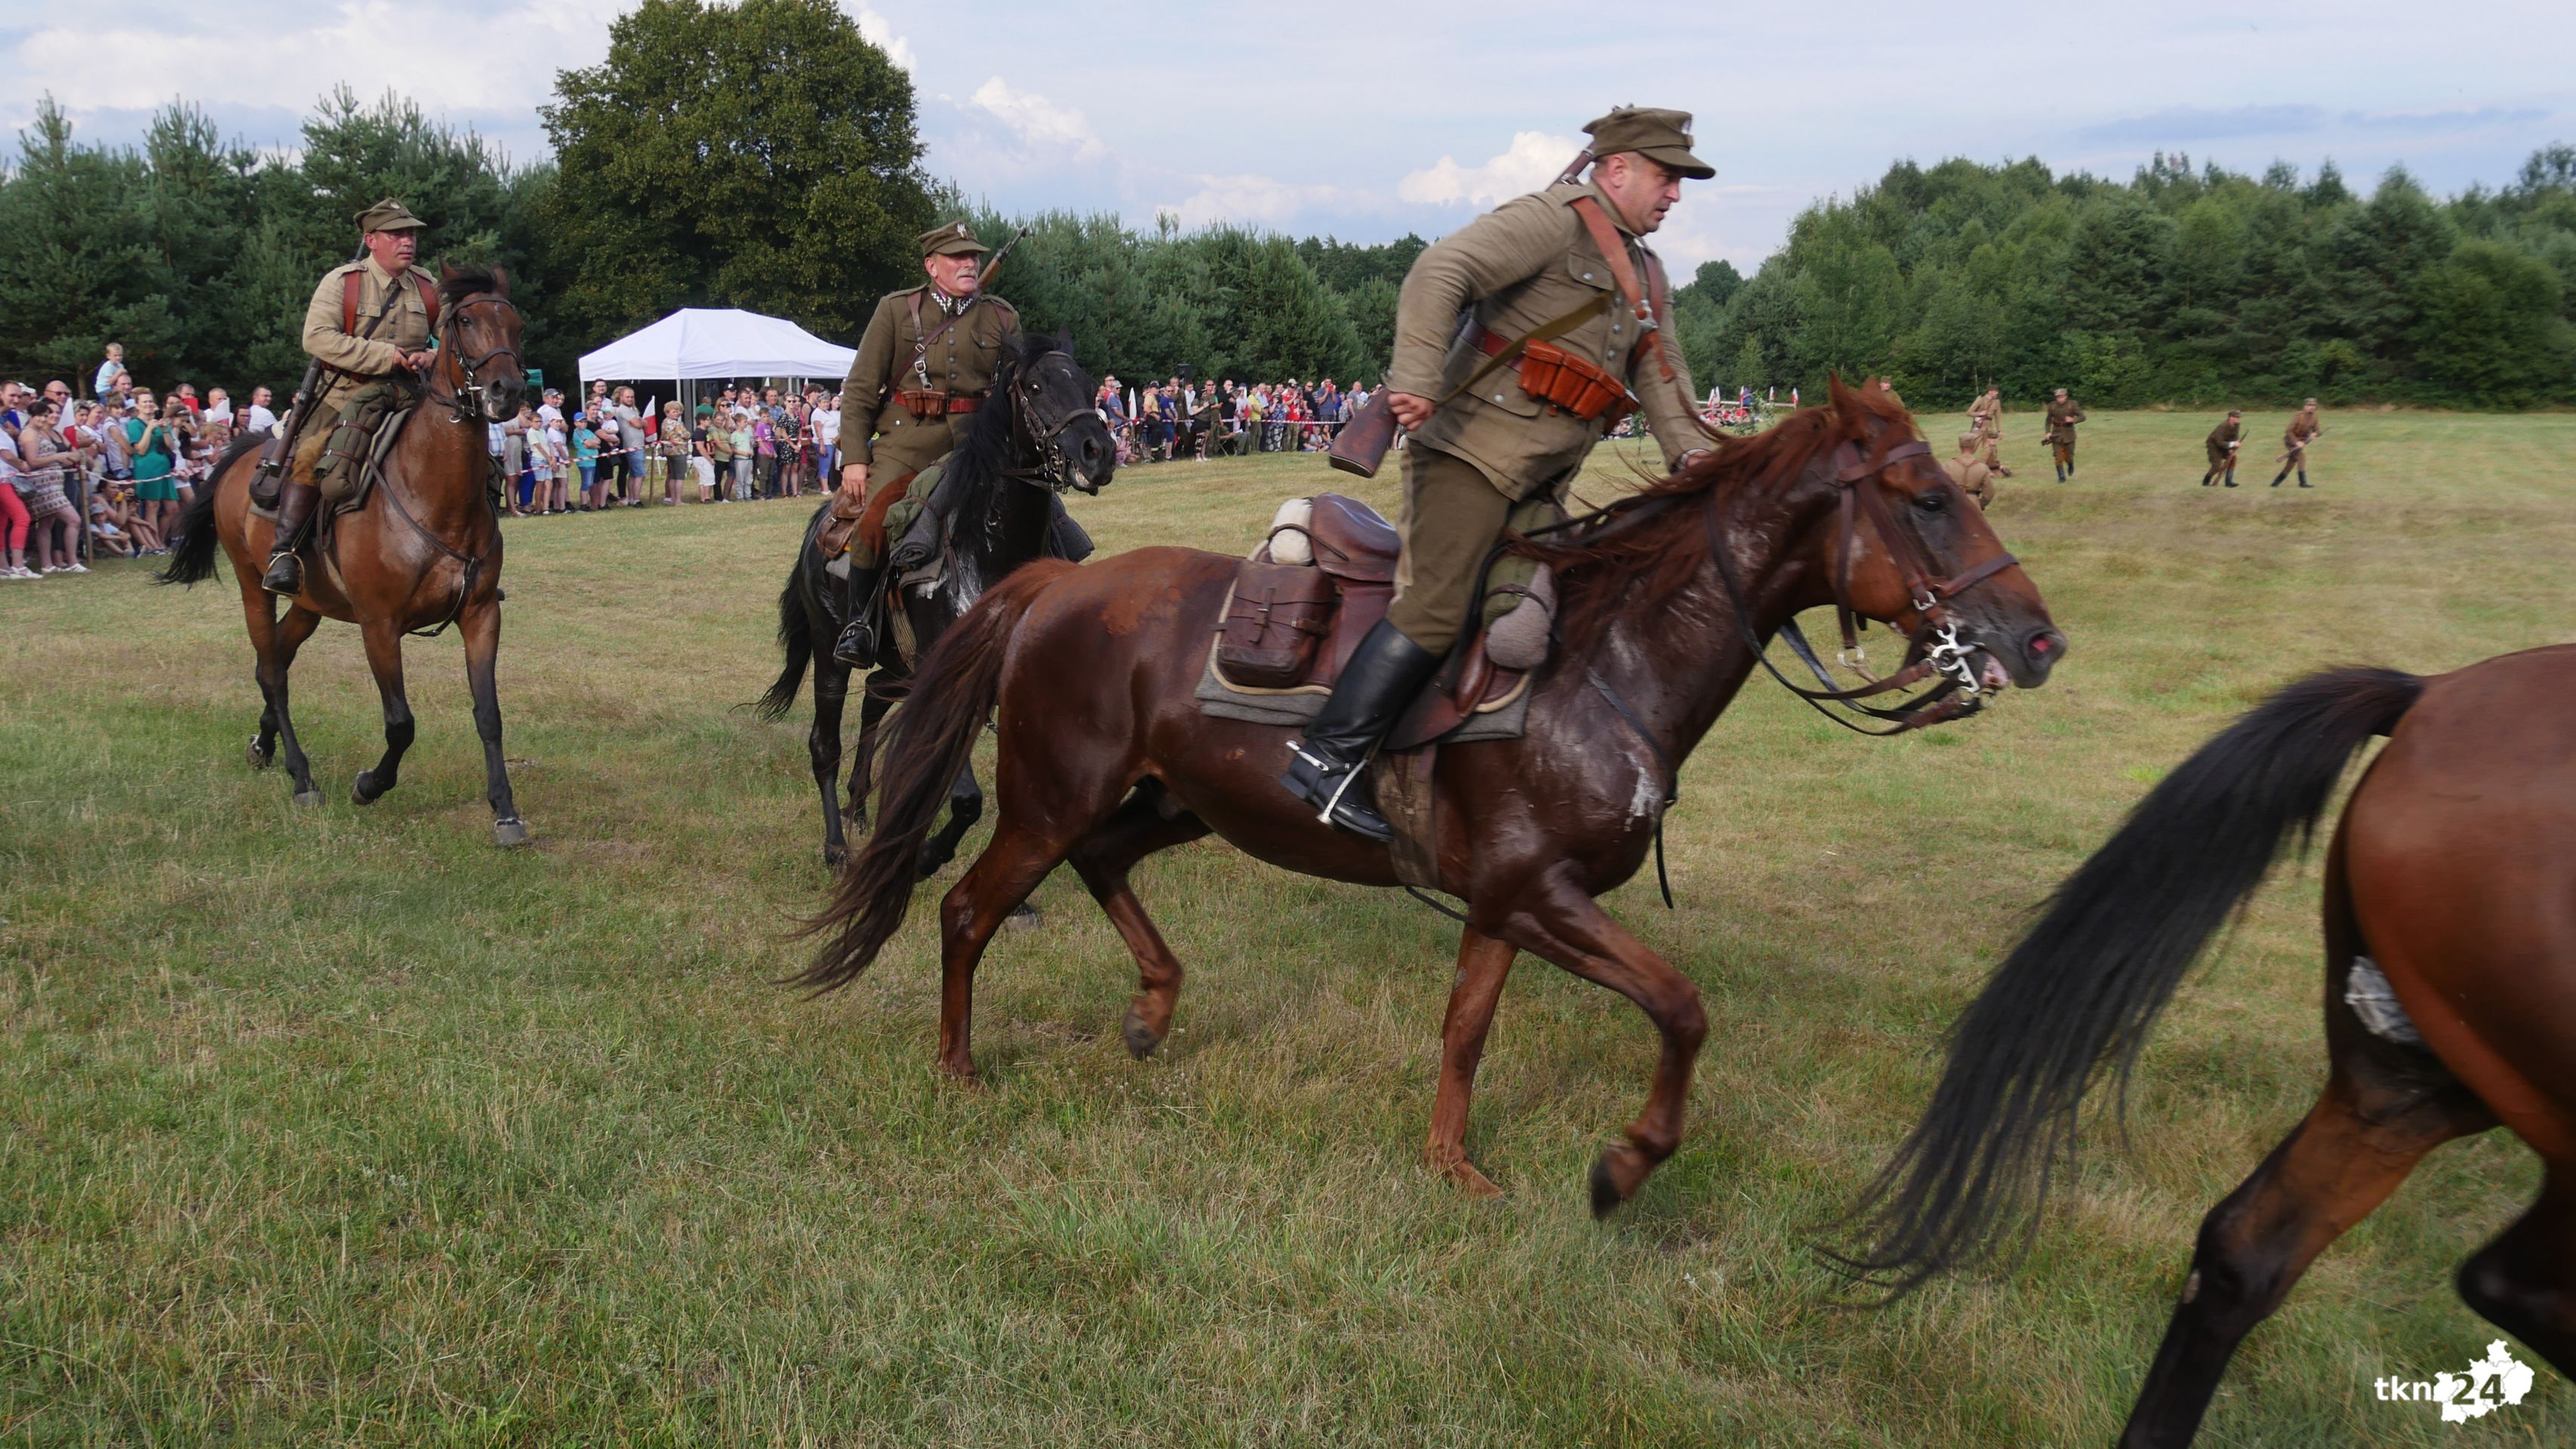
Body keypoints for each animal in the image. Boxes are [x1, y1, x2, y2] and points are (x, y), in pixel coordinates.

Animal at [746, 331, 1107, 875]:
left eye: (1089, 384)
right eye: (1036, 386)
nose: (1098, 452)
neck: (989, 550)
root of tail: (822, 520)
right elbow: (964, 796)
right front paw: (926, 855)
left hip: (899, 666)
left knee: (875, 696)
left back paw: (859, 807)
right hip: (831, 654)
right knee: (825, 743)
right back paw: (836, 846)